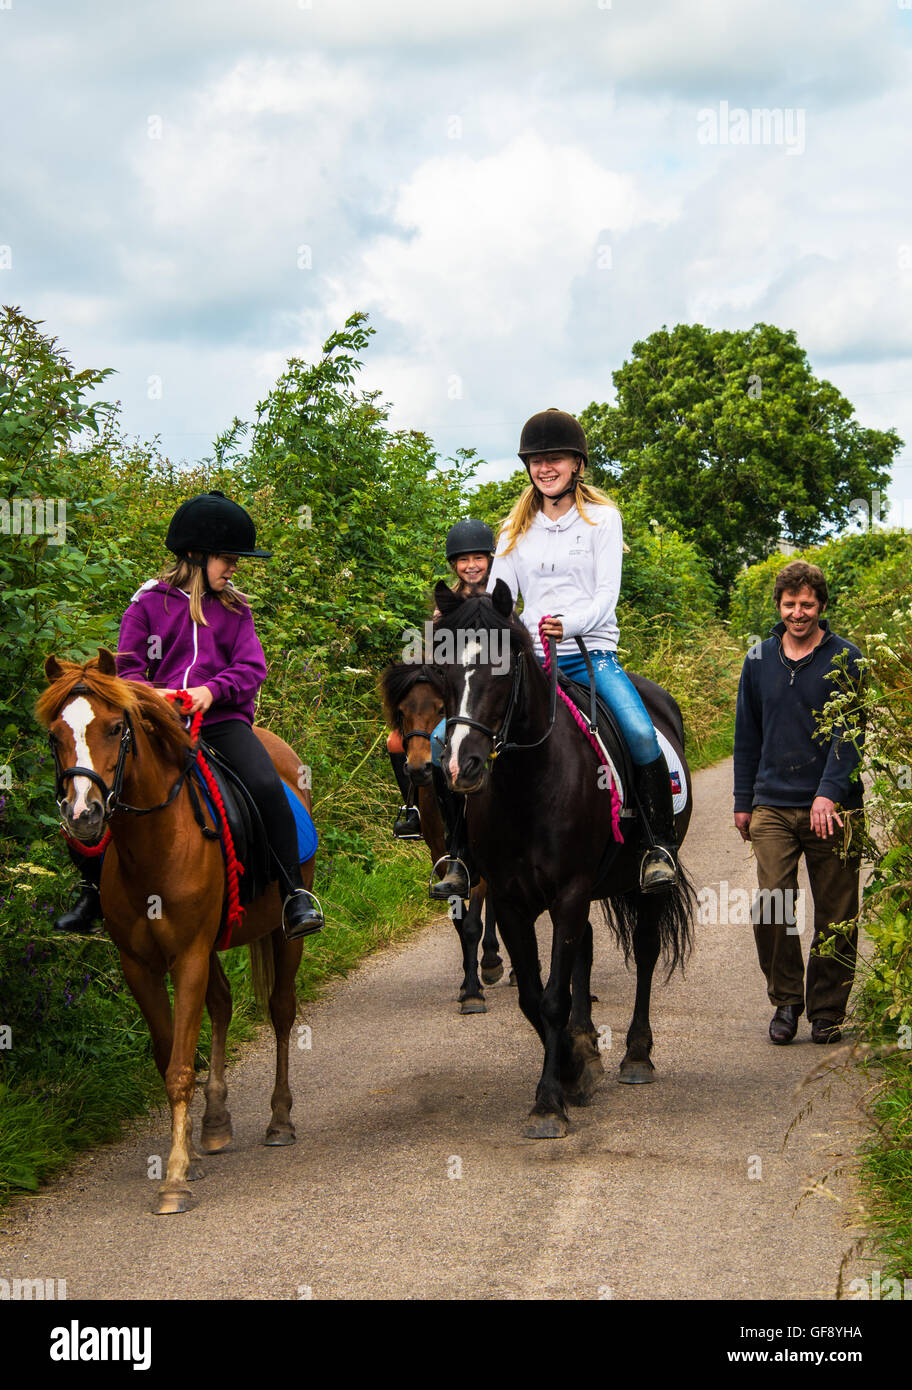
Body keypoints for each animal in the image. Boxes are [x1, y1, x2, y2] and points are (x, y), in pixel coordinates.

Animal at [37, 650, 315, 1217]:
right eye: (56, 735)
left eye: (115, 727)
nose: (83, 814)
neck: (153, 846)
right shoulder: (140, 965)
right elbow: (170, 1055)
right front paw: (187, 1154)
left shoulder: (186, 955)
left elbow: (180, 1068)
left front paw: (175, 1180)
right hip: (211, 948)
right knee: (224, 1003)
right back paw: (215, 1122)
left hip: (283, 938)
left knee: (280, 1011)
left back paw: (279, 1120)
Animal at [378, 661, 506, 1011]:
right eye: (403, 712)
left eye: (439, 709)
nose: (418, 768)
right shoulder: (443, 856)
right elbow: (460, 922)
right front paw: (468, 984)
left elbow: (474, 922)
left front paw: (474, 991)